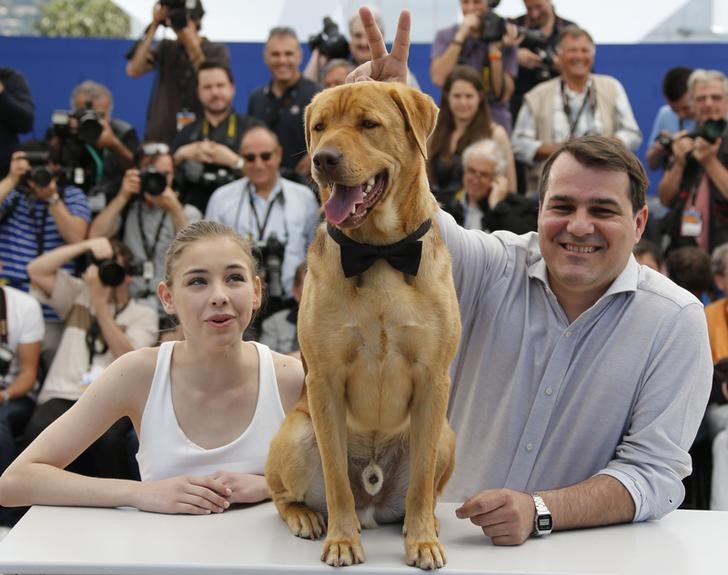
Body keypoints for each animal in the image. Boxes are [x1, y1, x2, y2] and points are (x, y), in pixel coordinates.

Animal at [266, 82, 460, 572]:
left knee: (424, 491)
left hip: (447, 435)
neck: (380, 254)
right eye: (319, 127)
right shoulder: (325, 380)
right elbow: (336, 477)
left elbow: (422, 479)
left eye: (368, 124)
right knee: (282, 495)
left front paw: (423, 541)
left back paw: (423, 521)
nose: (323, 159)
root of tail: (374, 505)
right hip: (296, 435)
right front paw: (341, 540)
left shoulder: (434, 379)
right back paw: (306, 516)